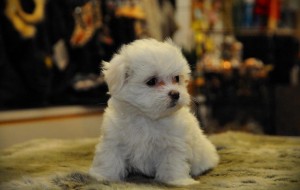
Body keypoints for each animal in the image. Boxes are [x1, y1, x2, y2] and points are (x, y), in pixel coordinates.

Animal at [89, 38, 218, 186]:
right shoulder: (113, 139)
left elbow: (172, 163)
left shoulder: (173, 145)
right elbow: (109, 158)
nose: (175, 94)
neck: (145, 117)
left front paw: (177, 181)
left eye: (176, 78)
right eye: (151, 81)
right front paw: (103, 176)